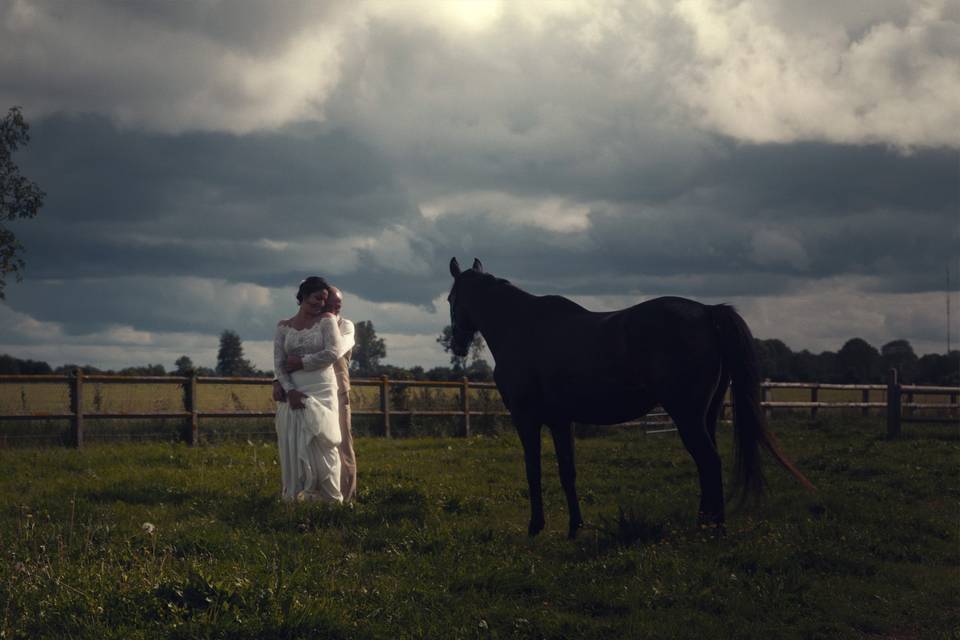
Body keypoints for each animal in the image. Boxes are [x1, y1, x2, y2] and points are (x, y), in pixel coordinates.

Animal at [446, 258, 812, 536]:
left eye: (451, 299)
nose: (459, 345)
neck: (521, 327)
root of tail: (708, 312)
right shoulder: (561, 421)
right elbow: (567, 472)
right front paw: (575, 527)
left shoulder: (527, 419)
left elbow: (533, 471)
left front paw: (536, 526)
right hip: (706, 414)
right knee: (708, 464)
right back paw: (707, 522)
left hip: (687, 416)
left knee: (709, 461)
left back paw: (711, 528)